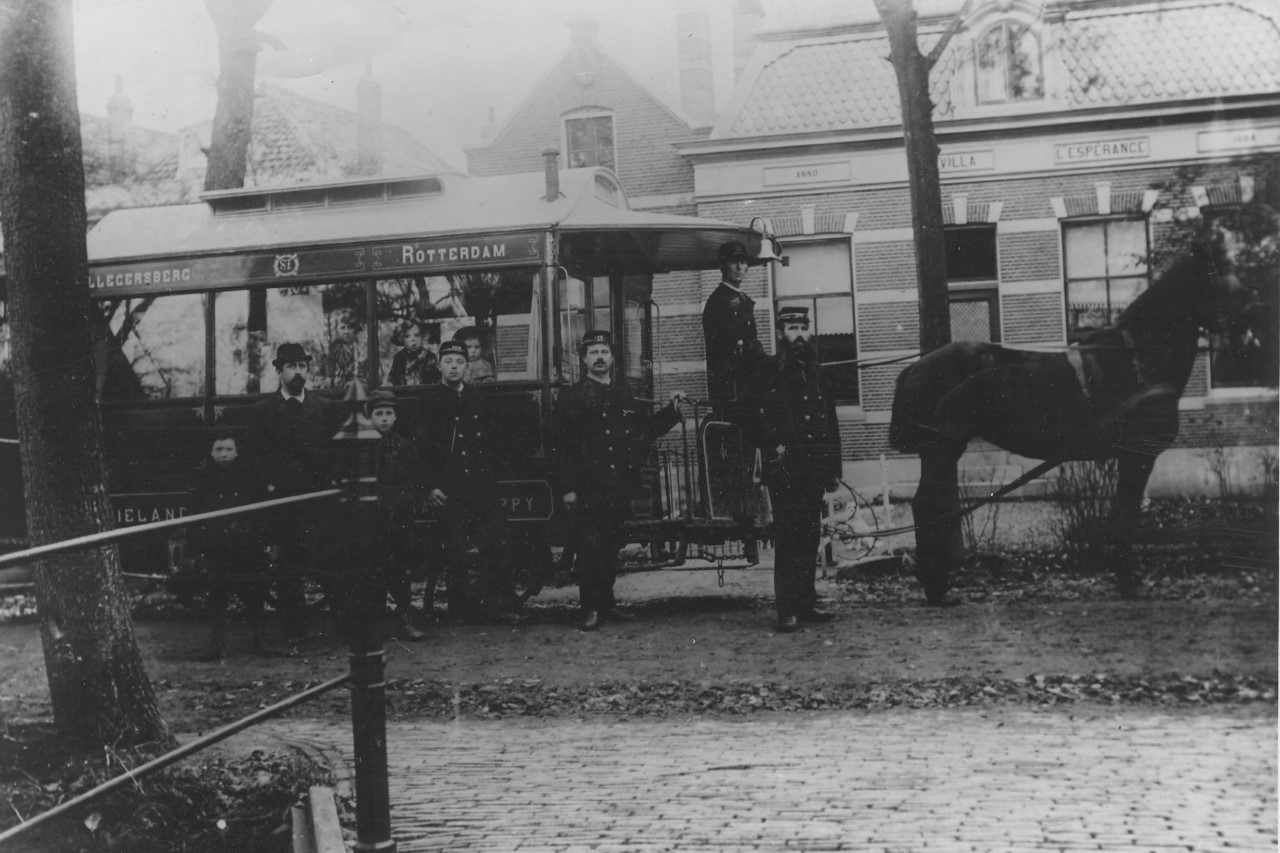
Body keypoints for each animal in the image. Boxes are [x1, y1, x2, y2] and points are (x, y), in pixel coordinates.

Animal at [890, 236, 1249, 596]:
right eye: (1216, 279)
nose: (1243, 334)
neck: (1136, 359)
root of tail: (916, 366)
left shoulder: (1130, 458)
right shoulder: (1138, 456)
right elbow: (1127, 516)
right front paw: (1128, 581)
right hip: (941, 449)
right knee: (926, 506)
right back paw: (935, 585)